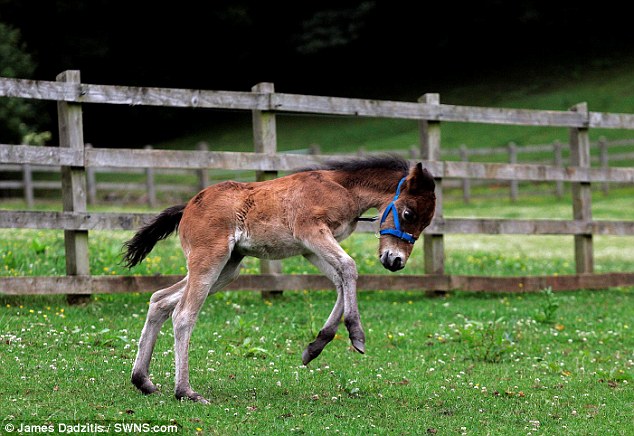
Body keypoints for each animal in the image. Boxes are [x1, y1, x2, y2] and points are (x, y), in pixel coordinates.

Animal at [122, 155, 434, 404]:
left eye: (426, 222)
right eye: (408, 213)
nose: (396, 261)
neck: (342, 188)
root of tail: (188, 206)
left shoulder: (309, 248)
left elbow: (340, 280)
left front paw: (315, 346)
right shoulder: (311, 232)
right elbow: (349, 268)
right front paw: (356, 334)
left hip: (228, 269)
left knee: (160, 300)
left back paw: (143, 381)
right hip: (209, 260)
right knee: (183, 314)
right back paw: (185, 391)